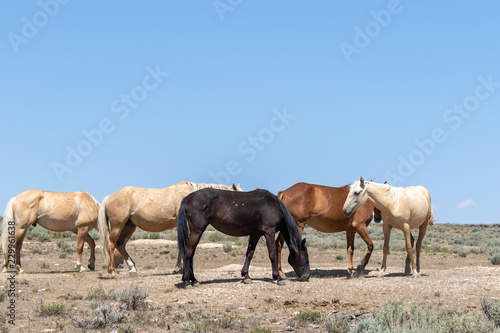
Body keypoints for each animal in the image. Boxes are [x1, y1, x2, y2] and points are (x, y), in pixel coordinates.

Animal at [97, 180, 242, 276]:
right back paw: (112, 271)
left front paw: (179, 267)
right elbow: (185, 244)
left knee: (120, 245)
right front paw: (183, 268)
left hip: (129, 226)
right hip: (117, 226)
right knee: (111, 244)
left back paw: (132, 268)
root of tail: (109, 197)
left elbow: (180, 245)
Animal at [176, 187, 308, 286]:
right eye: (306, 257)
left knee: (190, 253)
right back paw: (188, 281)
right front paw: (278, 278)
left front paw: (246, 276)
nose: (306, 277)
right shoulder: (269, 232)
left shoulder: (256, 234)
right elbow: (272, 255)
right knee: (188, 253)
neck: (274, 205)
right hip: (197, 231)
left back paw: (193, 280)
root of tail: (188, 197)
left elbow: (249, 254)